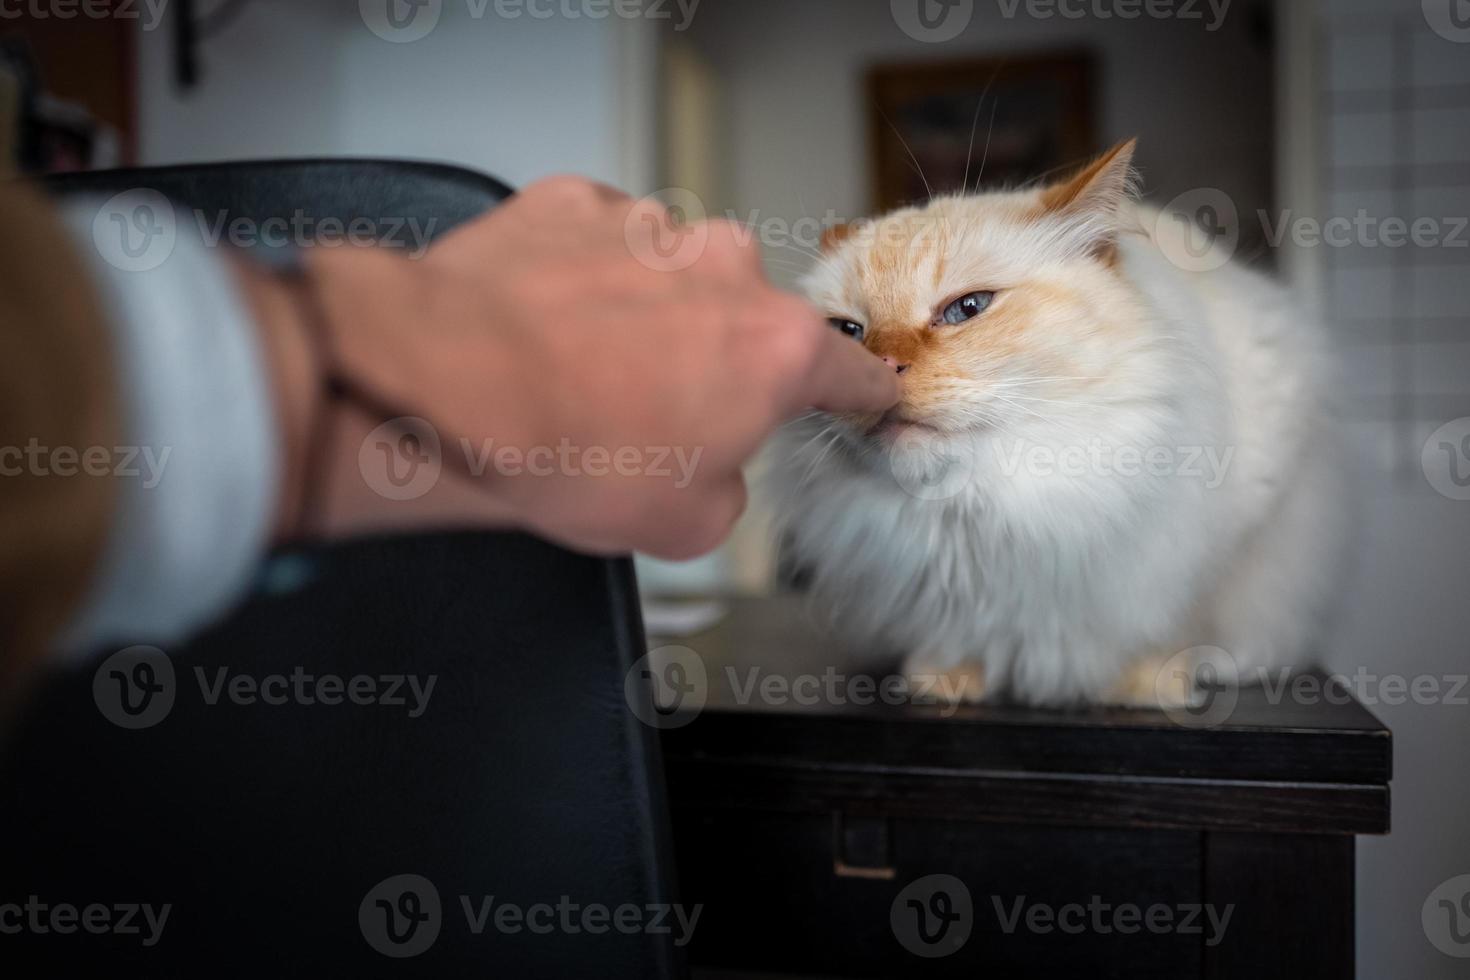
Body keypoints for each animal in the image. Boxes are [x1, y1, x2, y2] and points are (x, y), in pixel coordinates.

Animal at [770, 139, 1346, 705]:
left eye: (968, 308)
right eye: (847, 333)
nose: (877, 369)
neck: (978, 512)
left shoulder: (1223, 538)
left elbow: (1173, 626)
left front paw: (1149, 687)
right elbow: (959, 641)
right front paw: (943, 681)